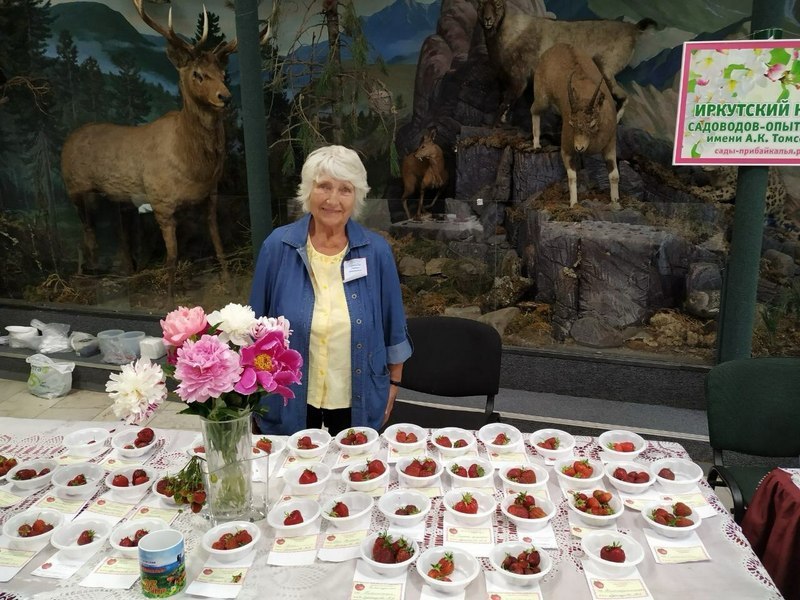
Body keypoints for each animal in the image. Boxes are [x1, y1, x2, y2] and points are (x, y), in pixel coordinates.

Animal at [60, 0, 270, 300]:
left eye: (223, 74)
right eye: (198, 74)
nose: (226, 97)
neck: (195, 166)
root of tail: (67, 140)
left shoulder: (210, 195)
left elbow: (218, 244)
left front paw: (229, 285)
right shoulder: (161, 202)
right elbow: (172, 256)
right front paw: (170, 298)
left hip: (117, 198)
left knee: (118, 234)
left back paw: (128, 275)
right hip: (75, 188)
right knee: (88, 234)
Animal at [477, 0, 655, 125]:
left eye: (498, 4)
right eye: (481, 3)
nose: (487, 20)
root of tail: (633, 29)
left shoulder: (519, 80)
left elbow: (504, 105)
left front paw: (495, 126)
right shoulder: (506, 79)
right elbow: (506, 102)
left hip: (605, 69)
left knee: (624, 96)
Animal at [531, 43, 620, 209]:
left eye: (592, 123)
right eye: (571, 123)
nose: (579, 148)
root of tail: (554, 48)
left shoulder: (610, 145)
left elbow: (614, 175)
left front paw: (615, 203)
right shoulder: (567, 148)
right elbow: (572, 176)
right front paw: (573, 204)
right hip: (542, 97)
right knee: (534, 110)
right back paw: (536, 144)